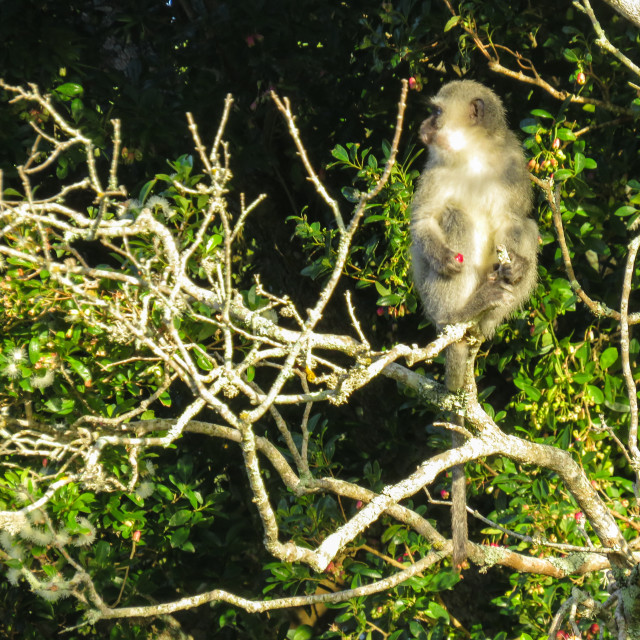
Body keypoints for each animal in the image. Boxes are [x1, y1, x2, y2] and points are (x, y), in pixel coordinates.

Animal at [408, 79, 536, 564]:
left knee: (524, 229)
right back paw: (462, 312)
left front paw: (517, 267)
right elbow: (425, 220)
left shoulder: (514, 166)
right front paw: (441, 252)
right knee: (454, 216)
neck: (474, 154)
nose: (423, 127)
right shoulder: (433, 169)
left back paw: (489, 307)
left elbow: (515, 221)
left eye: (435, 113)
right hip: (434, 302)